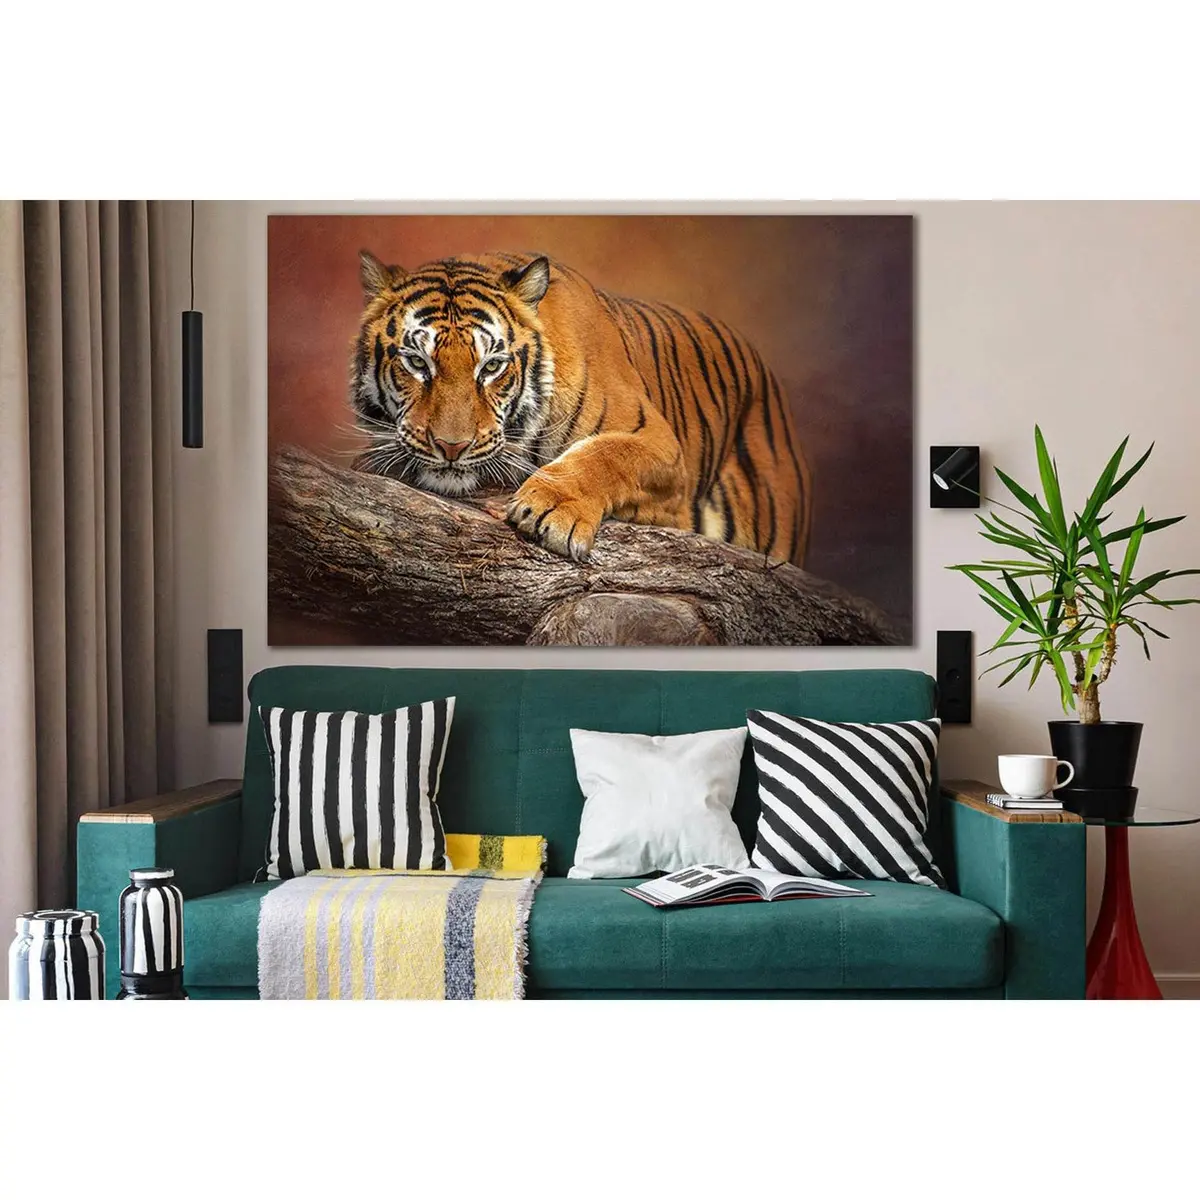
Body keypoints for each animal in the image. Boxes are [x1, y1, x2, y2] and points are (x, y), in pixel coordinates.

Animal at [350, 250, 812, 565]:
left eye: (492, 366)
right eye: (417, 362)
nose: (451, 447)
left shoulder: (660, 446)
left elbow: (607, 454)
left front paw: (553, 511)